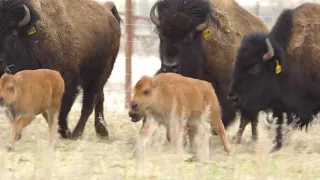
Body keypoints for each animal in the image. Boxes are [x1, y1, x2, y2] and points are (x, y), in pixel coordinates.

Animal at [0, 0, 121, 139]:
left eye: (13, 36)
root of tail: (108, 11)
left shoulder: (67, 82)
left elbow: (62, 109)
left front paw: (64, 132)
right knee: (99, 98)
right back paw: (102, 132)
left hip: (98, 76)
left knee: (88, 104)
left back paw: (76, 134)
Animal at [228, 2, 320, 151]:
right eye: (236, 64)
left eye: (255, 68)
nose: (232, 97)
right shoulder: (281, 105)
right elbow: (280, 124)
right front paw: (276, 146)